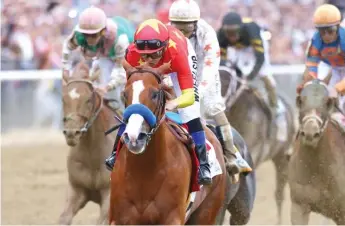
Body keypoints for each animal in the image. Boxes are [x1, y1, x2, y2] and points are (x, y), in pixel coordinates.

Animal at [59, 61, 118, 224]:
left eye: (88, 99)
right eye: (63, 99)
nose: (72, 133)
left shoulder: (109, 194)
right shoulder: (76, 189)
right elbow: (64, 218)